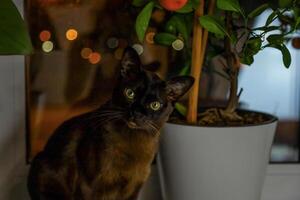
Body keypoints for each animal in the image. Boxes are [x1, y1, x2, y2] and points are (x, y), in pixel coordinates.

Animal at [27, 47, 193, 199]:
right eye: (130, 93)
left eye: (155, 105)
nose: (136, 113)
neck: (133, 144)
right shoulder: (90, 187)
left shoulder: (133, 190)